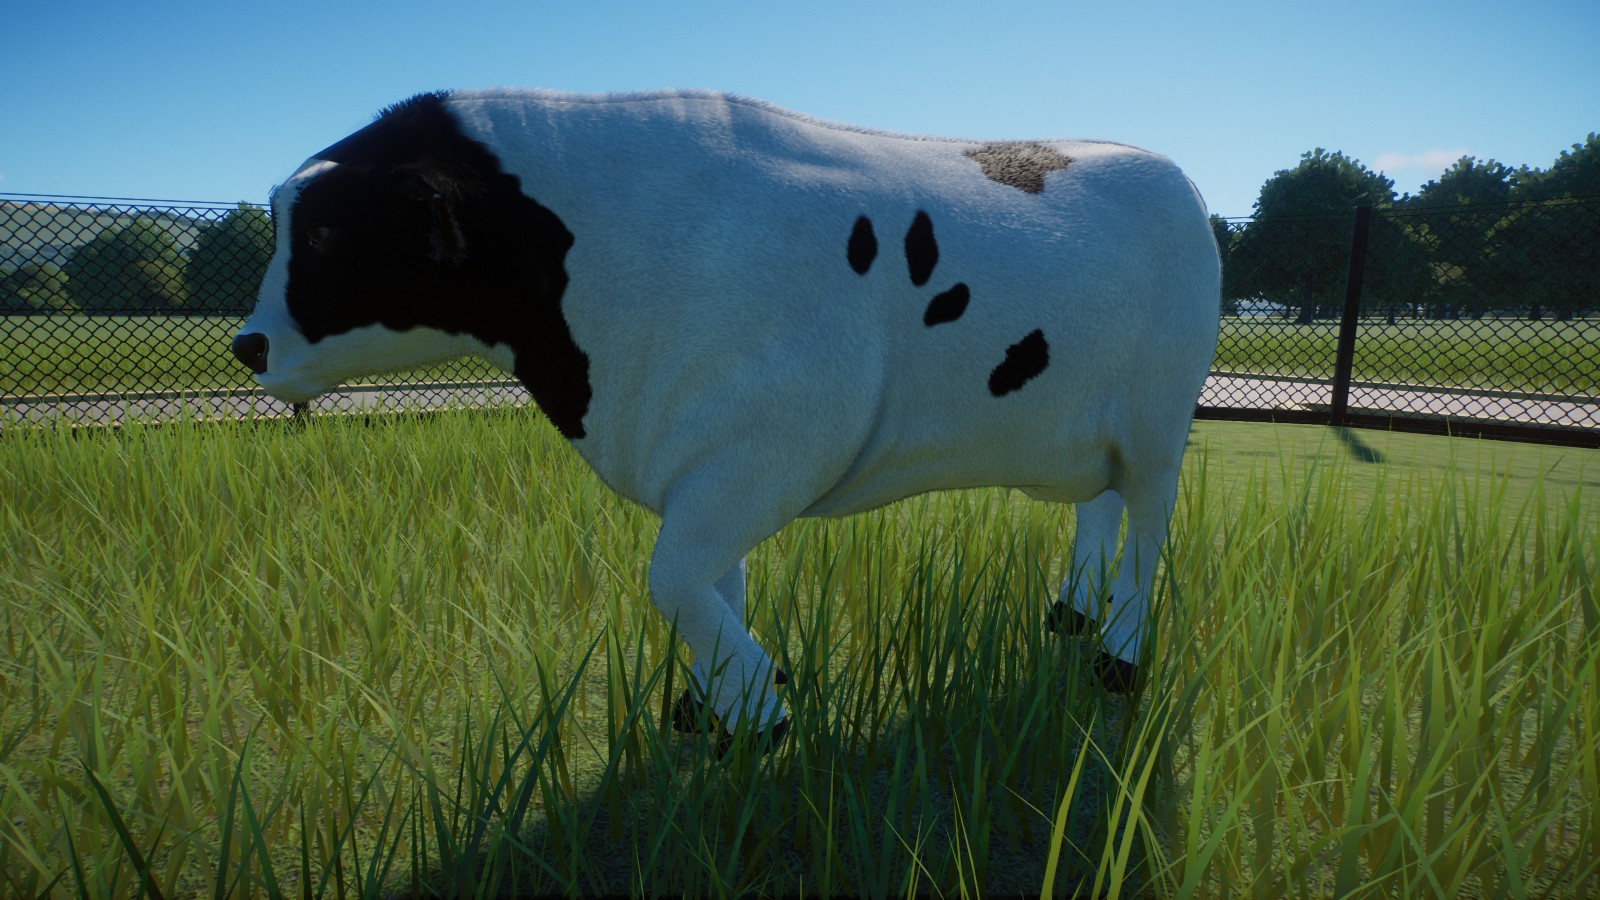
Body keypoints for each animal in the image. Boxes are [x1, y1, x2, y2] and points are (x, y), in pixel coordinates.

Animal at [232, 88, 1220, 753]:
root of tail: (1163, 165)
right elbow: (715, 582)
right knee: (1097, 505)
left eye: (322, 235)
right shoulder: (707, 452)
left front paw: (759, 708)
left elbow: (673, 579)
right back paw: (1072, 611)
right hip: (1080, 428)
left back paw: (1119, 655)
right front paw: (712, 703)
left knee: (1147, 528)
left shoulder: (769, 445)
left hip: (1161, 421)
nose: (245, 345)